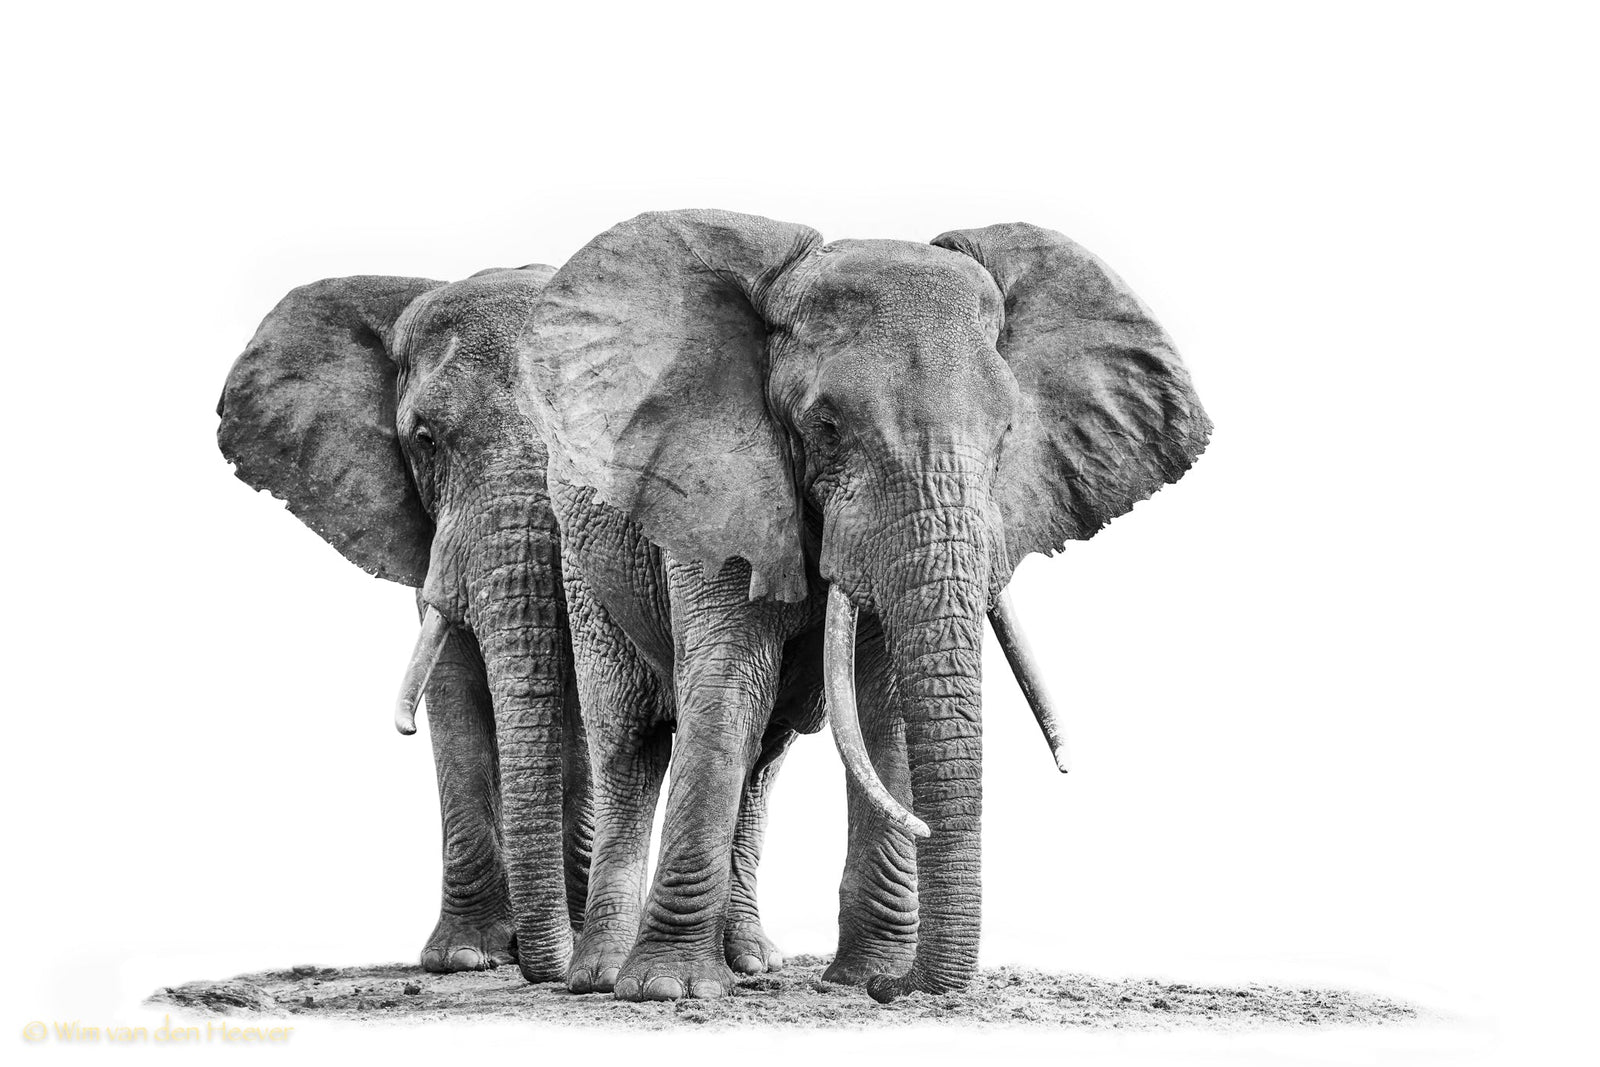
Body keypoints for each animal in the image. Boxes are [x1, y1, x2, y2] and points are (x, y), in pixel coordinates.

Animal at [521, 209, 1210, 1002]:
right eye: (824, 427)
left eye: (1008, 433)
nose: (904, 992)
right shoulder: (715, 486)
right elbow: (726, 686)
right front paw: (669, 990)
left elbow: (885, 702)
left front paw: (867, 975)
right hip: (585, 564)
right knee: (630, 740)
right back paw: (602, 974)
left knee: (764, 755)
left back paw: (750, 964)